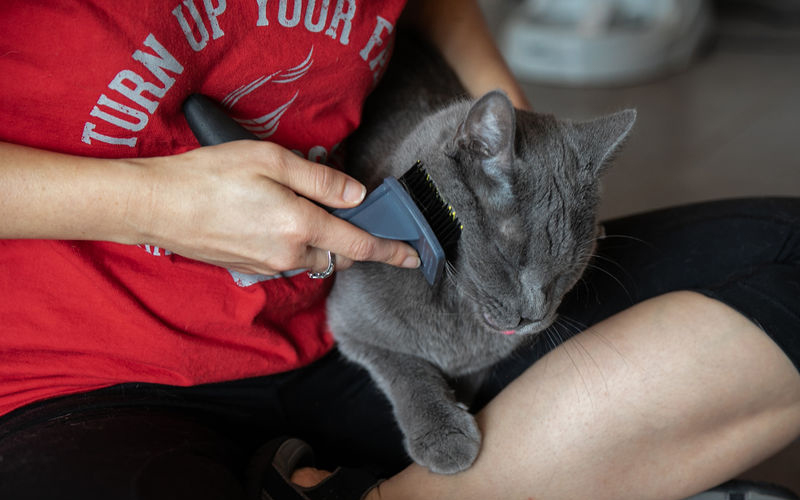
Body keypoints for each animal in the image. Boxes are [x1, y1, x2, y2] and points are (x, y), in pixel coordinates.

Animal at [324, 33, 636, 474]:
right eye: (510, 259)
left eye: (567, 272)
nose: (533, 316)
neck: (456, 310)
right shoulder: (351, 327)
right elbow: (407, 368)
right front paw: (445, 436)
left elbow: (467, 374)